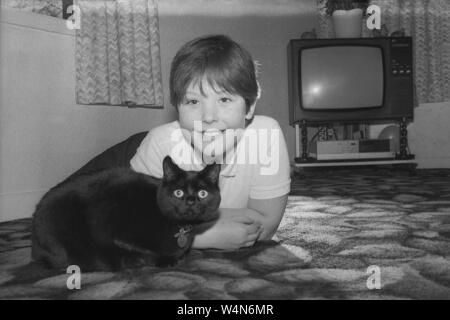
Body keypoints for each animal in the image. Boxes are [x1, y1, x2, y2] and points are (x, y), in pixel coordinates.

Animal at [31, 156, 221, 272]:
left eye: (202, 193)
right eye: (178, 193)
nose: (191, 202)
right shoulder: (108, 227)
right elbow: (144, 252)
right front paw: (163, 260)